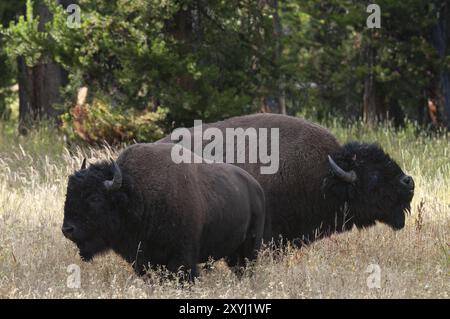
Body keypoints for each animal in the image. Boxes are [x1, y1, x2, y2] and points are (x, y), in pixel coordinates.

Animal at [63, 143, 268, 280]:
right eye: (68, 193)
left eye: (95, 198)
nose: (67, 229)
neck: (138, 193)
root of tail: (256, 188)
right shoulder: (143, 260)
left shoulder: (182, 258)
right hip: (233, 253)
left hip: (250, 248)